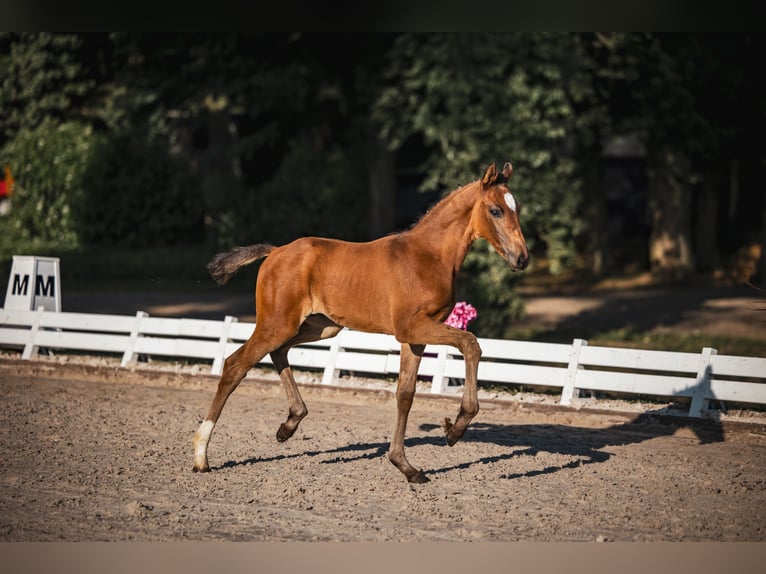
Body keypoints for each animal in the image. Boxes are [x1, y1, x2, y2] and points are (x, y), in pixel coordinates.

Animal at [192, 161, 529, 483]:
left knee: (279, 352)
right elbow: (471, 344)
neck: (428, 256)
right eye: (495, 210)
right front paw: (455, 429)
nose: (522, 258)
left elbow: (405, 394)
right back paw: (201, 455)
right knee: (235, 365)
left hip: (319, 327)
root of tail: (275, 252)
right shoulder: (411, 327)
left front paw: (406, 467)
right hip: (276, 324)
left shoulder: (415, 336)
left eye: (517, 209)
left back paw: (289, 424)